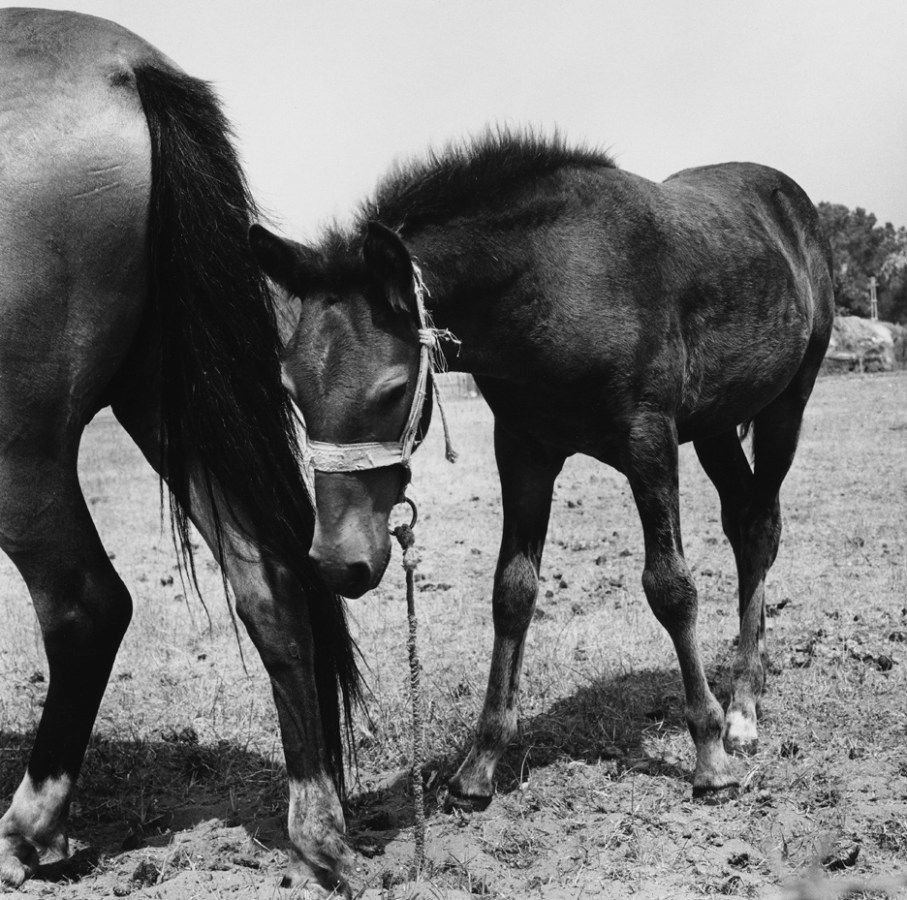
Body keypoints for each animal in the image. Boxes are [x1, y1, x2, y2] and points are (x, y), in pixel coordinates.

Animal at [1, 10, 360, 896]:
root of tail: (130, 69)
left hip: (24, 450)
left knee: (87, 605)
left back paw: (27, 832)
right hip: (175, 405)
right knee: (269, 582)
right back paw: (318, 829)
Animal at [252, 132, 832, 808]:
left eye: (393, 389)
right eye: (290, 389)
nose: (339, 564)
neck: (556, 281)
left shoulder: (650, 441)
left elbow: (670, 587)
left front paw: (709, 755)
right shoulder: (524, 450)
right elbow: (513, 592)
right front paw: (479, 766)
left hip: (785, 405)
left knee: (761, 526)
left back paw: (741, 711)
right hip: (717, 423)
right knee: (743, 522)